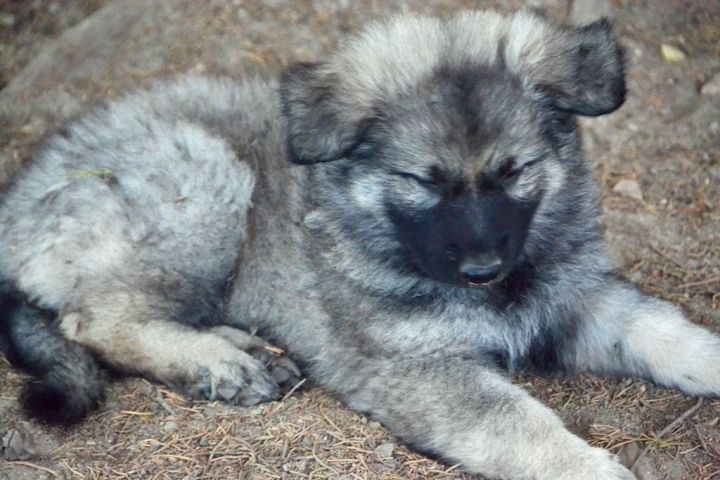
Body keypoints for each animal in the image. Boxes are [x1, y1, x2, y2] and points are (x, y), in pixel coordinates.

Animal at [1, 9, 718, 480]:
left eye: (515, 171)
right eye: (423, 181)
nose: (483, 270)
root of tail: (20, 197)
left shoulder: (576, 297)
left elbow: (663, 329)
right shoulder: (419, 367)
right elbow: (523, 426)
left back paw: (240, 348)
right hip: (203, 179)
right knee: (95, 318)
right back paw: (222, 364)